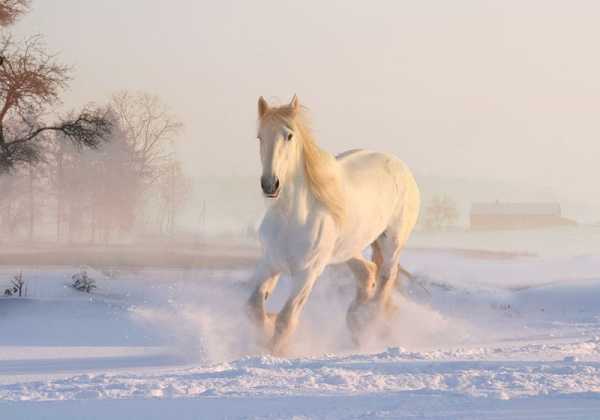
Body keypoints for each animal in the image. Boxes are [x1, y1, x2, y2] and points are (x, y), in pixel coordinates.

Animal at [246, 95, 420, 354]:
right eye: (260, 136)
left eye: (289, 135)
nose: (270, 184)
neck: (291, 218)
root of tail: (400, 166)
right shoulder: (269, 263)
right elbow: (254, 308)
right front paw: (266, 327)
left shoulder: (307, 273)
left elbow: (286, 320)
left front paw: (274, 351)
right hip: (348, 249)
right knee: (368, 272)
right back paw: (356, 320)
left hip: (392, 243)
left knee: (386, 278)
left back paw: (368, 323)